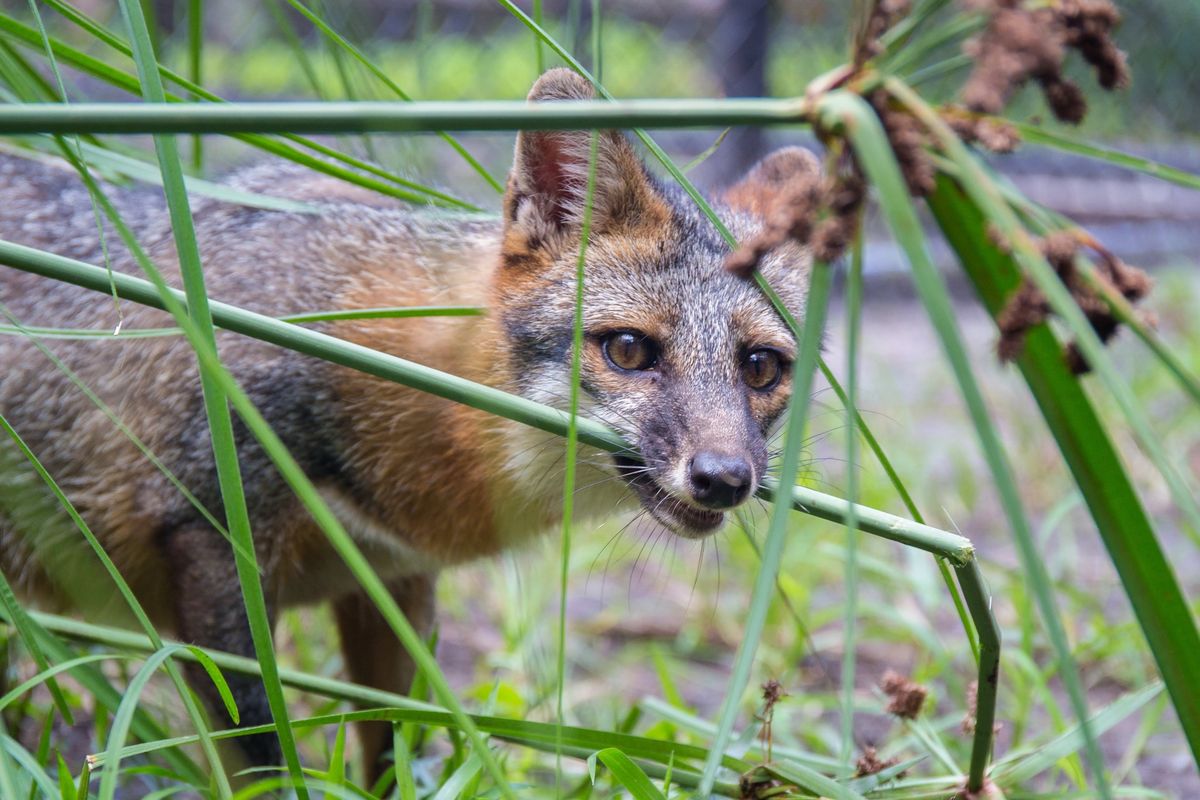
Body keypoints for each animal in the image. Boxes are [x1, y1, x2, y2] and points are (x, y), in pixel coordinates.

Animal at [0, 70, 816, 782]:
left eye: (760, 367)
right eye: (628, 350)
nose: (725, 479)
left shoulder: (392, 577)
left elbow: (398, 746)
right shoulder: (211, 534)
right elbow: (263, 753)